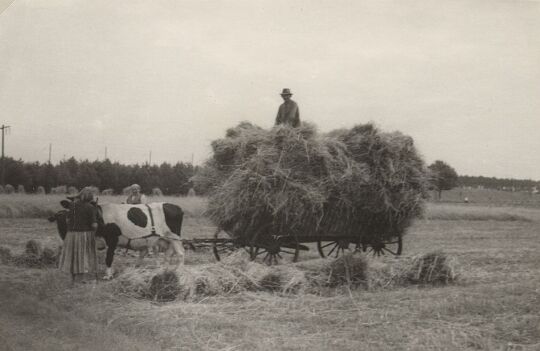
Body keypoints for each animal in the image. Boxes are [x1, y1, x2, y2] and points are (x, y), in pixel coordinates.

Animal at [50, 201, 186, 280]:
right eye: (61, 218)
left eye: (67, 218)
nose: (63, 234)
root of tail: (175, 206)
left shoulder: (112, 239)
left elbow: (109, 257)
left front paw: (108, 275)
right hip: (165, 239)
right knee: (168, 254)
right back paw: (164, 270)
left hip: (174, 236)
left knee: (180, 253)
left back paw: (178, 271)